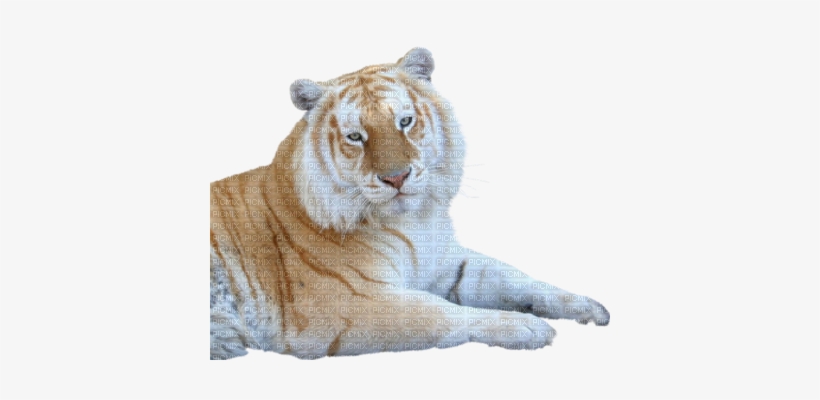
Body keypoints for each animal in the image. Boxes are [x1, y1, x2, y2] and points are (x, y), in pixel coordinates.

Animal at [210, 48, 610, 360]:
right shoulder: (347, 305)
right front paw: (528, 327)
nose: (397, 177)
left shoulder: (445, 263)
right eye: (355, 137)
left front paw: (588, 306)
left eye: (405, 121)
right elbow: (438, 313)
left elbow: (512, 277)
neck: (413, 222)